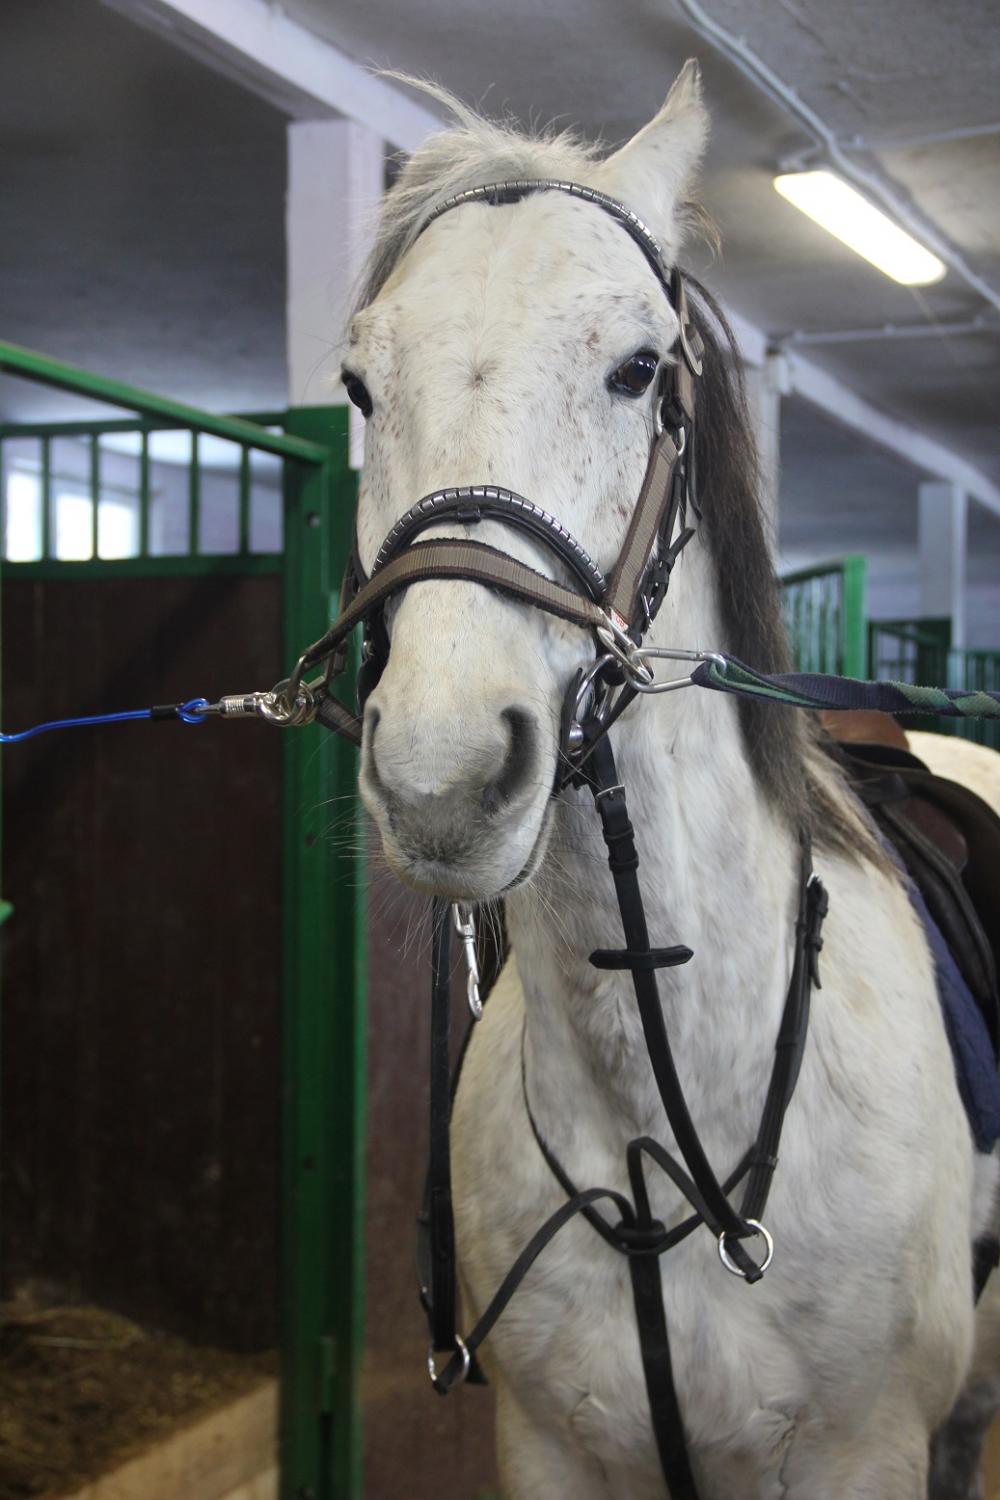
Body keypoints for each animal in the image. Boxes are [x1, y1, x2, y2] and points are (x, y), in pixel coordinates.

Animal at [342, 62, 1000, 1498]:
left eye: (638, 368)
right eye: (357, 384)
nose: (443, 774)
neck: (659, 1136)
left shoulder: (863, 1455)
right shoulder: (551, 1450)